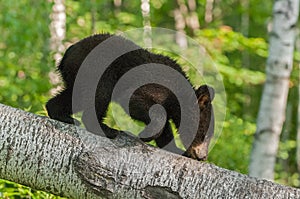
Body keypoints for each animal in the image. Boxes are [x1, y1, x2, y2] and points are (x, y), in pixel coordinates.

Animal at [46, 33, 213, 161]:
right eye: (204, 135)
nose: (203, 156)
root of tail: (67, 53)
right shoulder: (155, 87)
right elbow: (135, 101)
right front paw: (145, 135)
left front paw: (176, 148)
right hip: (96, 69)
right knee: (100, 95)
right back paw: (106, 129)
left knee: (74, 97)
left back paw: (61, 114)